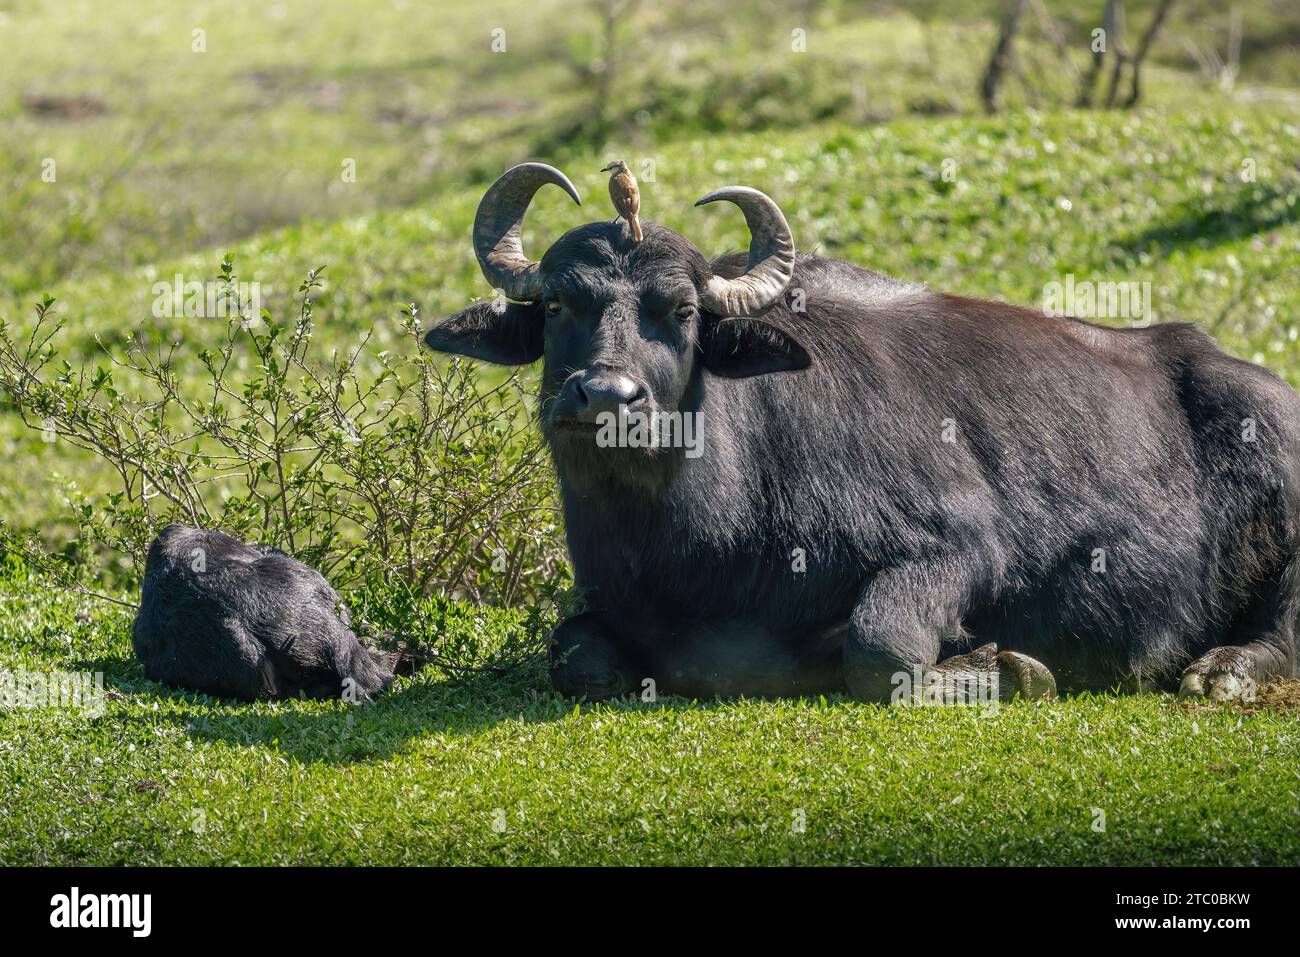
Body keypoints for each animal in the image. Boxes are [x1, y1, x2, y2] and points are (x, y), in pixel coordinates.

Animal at [423, 162, 1300, 702]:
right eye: (558, 304)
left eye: (682, 312)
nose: (606, 394)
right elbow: (574, 654)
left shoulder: (964, 545)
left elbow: (881, 649)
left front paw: (1011, 668)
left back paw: (1221, 671)